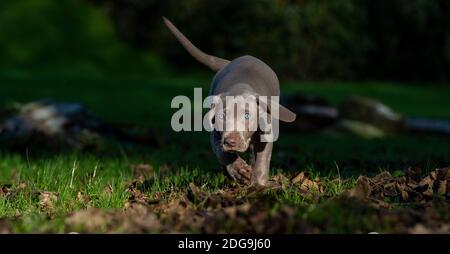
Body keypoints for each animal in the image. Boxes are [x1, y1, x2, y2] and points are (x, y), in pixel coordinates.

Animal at [163, 17, 298, 185]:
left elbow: (262, 160)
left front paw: (257, 185)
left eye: (247, 115)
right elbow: (223, 153)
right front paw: (239, 169)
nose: (231, 142)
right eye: (222, 116)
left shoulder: (266, 135)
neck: (240, 87)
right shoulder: (216, 136)